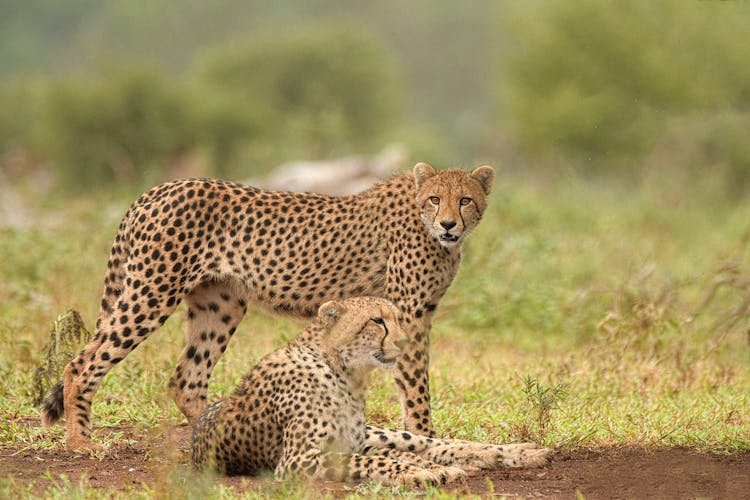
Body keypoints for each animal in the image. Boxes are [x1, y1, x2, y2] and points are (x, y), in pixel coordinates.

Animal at [44, 162, 496, 452]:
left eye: (466, 200)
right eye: (435, 199)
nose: (449, 224)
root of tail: (158, 188)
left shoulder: (419, 314)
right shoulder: (409, 314)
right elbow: (416, 385)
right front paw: (426, 436)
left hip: (220, 304)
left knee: (187, 378)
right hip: (152, 292)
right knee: (82, 364)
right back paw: (81, 444)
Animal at [191, 296, 548, 484]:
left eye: (397, 319)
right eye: (377, 321)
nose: (404, 342)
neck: (345, 372)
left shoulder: (349, 443)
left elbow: (386, 458)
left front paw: (427, 470)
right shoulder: (298, 459)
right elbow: (376, 462)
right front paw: (423, 473)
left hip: (382, 432)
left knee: (436, 443)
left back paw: (523, 452)